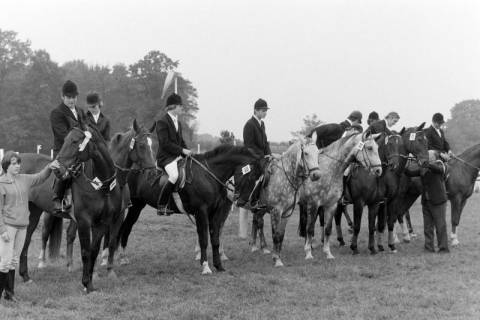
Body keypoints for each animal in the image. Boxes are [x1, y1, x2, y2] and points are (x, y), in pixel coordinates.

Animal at [118, 144, 264, 274]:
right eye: (251, 177)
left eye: (259, 180)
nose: (245, 202)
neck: (209, 175)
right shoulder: (201, 212)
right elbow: (203, 239)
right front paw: (205, 267)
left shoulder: (215, 213)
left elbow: (215, 239)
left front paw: (219, 266)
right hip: (134, 206)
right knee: (125, 228)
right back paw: (121, 258)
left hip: (137, 207)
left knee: (126, 228)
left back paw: (122, 257)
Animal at [296, 132, 382, 264]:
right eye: (369, 148)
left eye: (377, 148)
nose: (378, 170)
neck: (329, 170)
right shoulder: (315, 203)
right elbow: (310, 228)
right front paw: (309, 254)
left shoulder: (333, 204)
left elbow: (328, 228)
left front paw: (328, 253)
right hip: (307, 205)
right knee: (307, 225)